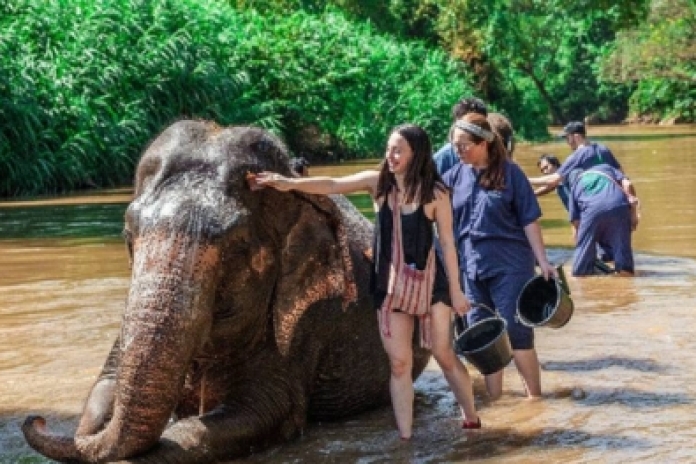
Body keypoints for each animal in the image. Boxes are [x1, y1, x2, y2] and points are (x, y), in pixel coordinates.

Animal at [21, 121, 432, 462]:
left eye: (236, 247)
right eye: (128, 235)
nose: (35, 419)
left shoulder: (304, 322)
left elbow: (261, 410)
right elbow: (105, 387)